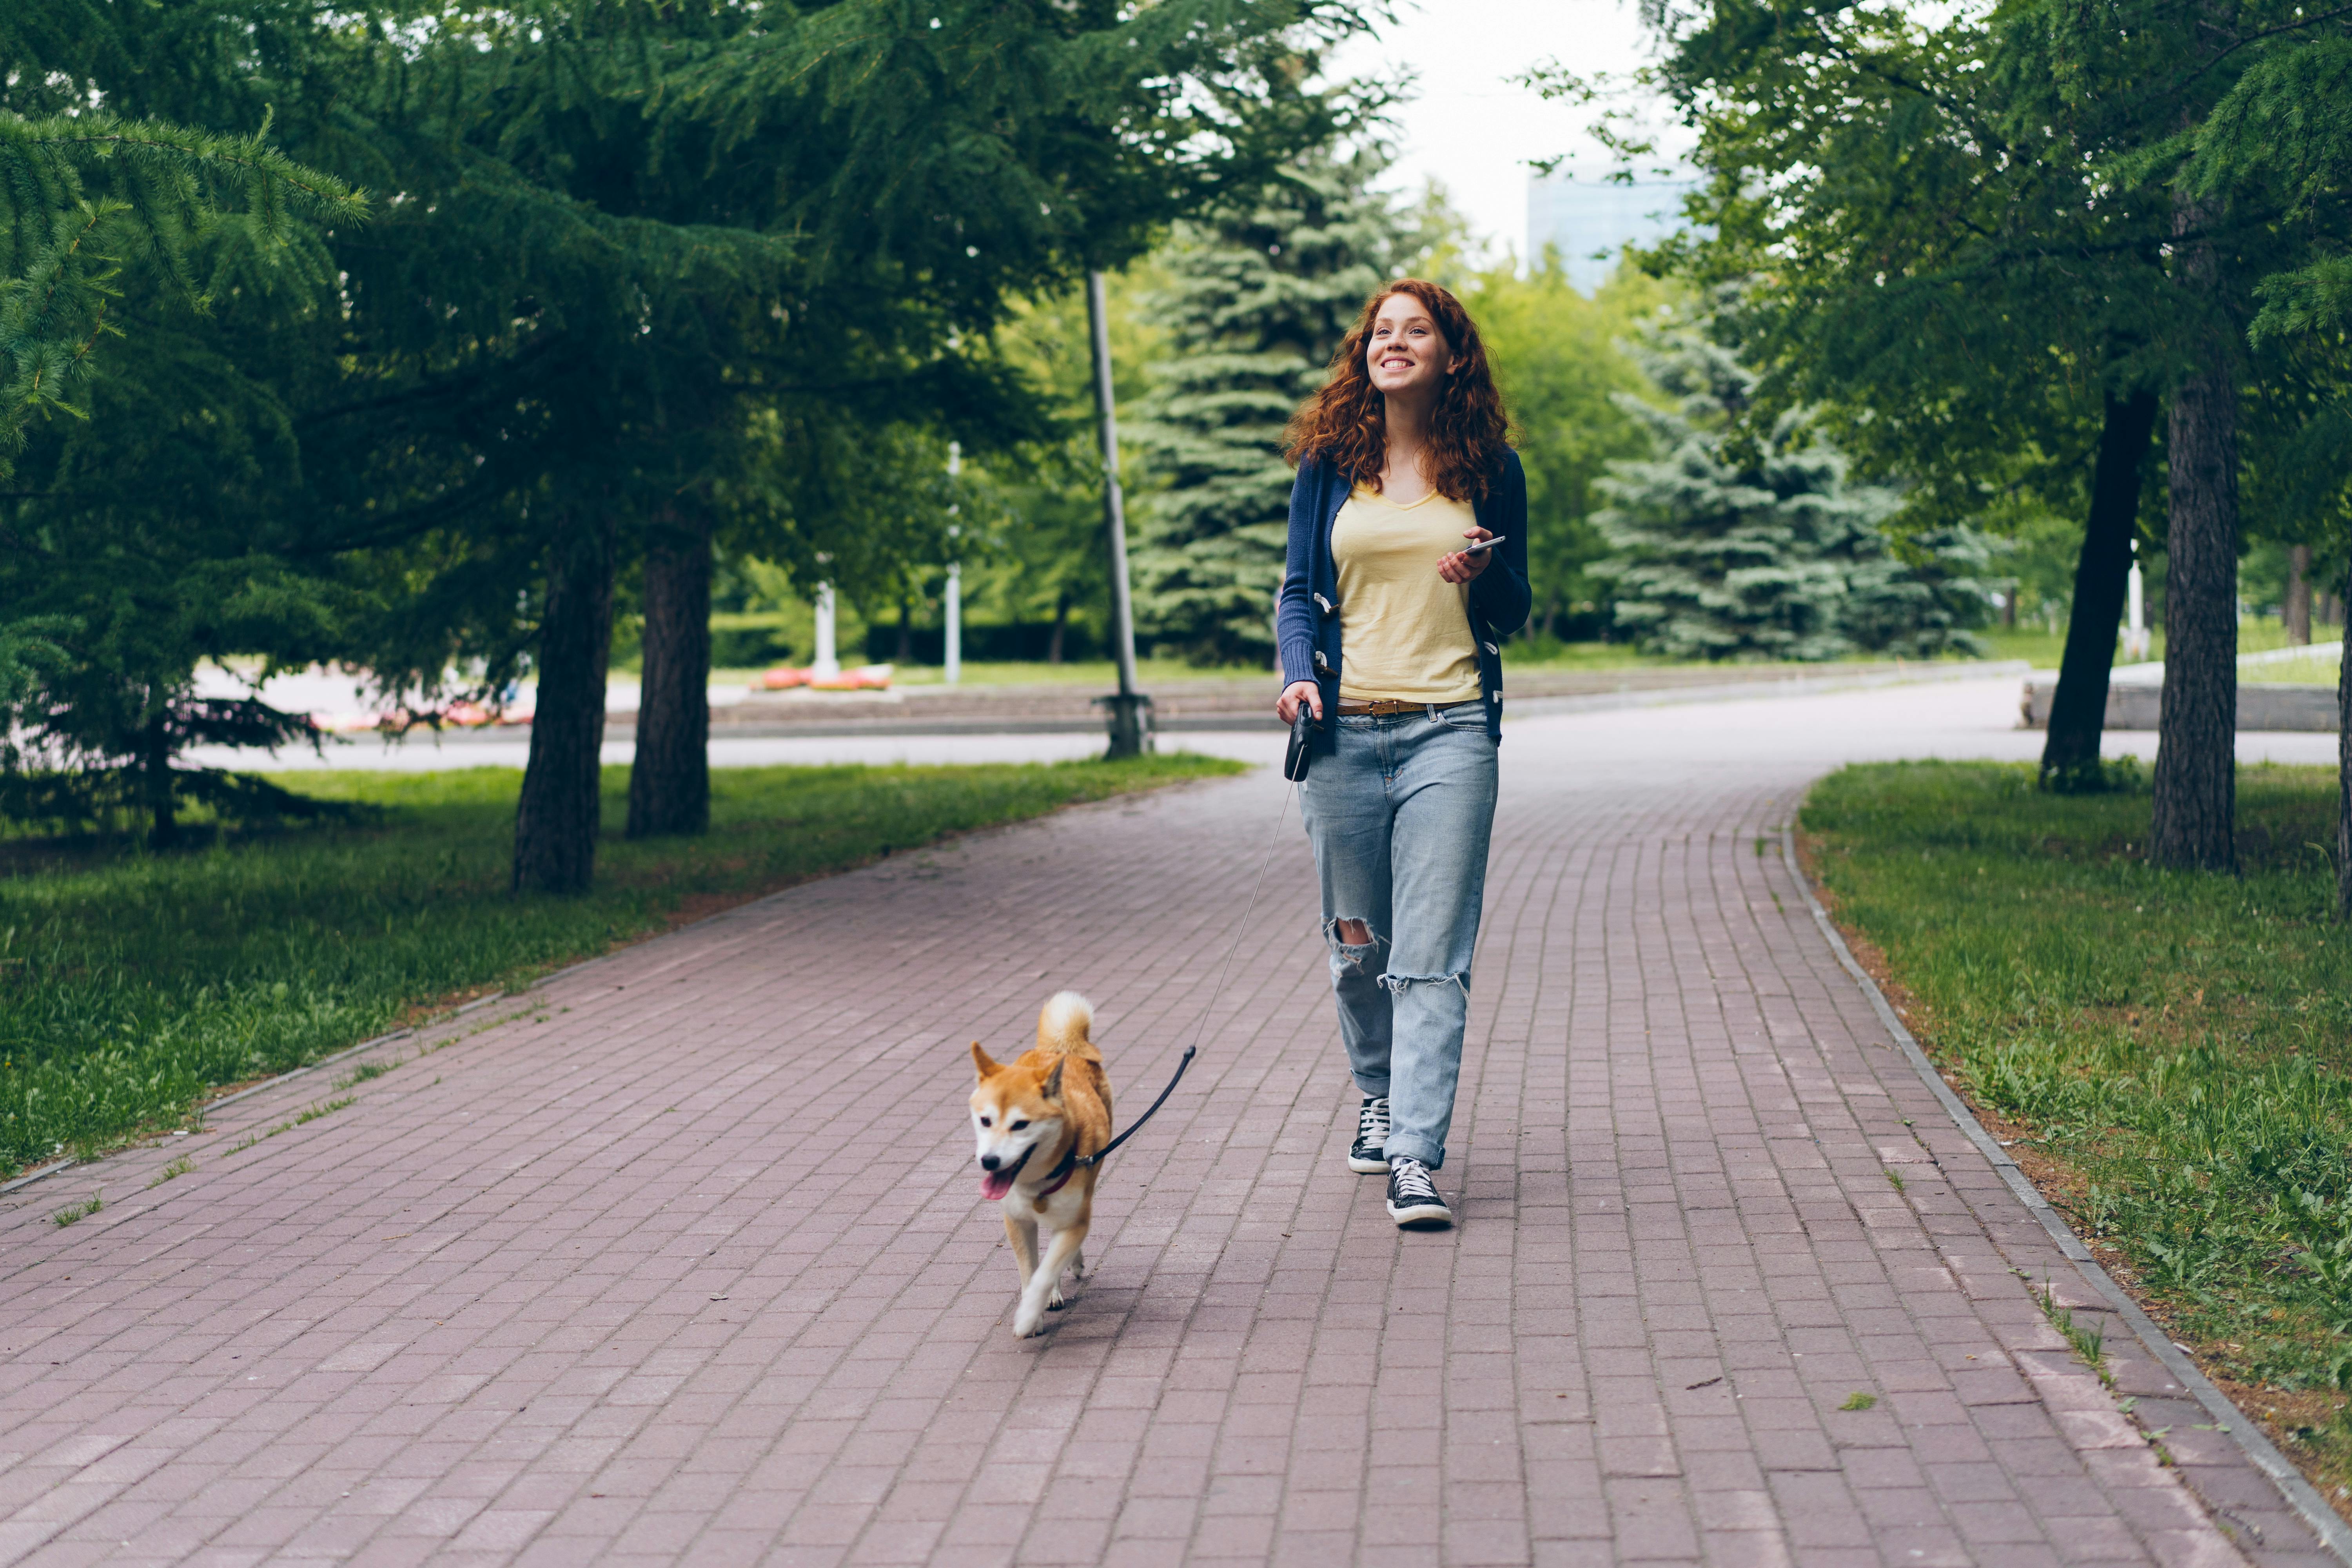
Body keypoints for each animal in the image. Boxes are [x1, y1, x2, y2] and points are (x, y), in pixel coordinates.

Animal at [974, 992, 1120, 1335]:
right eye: (985, 1120)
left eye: (1021, 1125)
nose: (989, 1161)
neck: (1036, 1184)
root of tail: (1059, 1049)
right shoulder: (1016, 1221)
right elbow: (1031, 1271)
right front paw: (1035, 1313)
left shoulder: (1075, 1221)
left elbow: (1045, 1273)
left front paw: (1028, 1316)